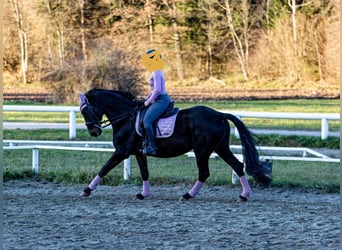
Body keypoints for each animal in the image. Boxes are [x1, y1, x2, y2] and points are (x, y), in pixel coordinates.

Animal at [79, 88, 272, 201]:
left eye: (86, 110)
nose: (94, 132)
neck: (126, 117)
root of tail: (219, 114)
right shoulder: (139, 152)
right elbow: (144, 173)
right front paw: (143, 194)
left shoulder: (122, 151)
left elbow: (104, 169)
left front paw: (86, 190)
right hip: (220, 148)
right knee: (238, 165)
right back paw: (244, 195)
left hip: (202, 150)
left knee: (204, 173)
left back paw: (188, 195)